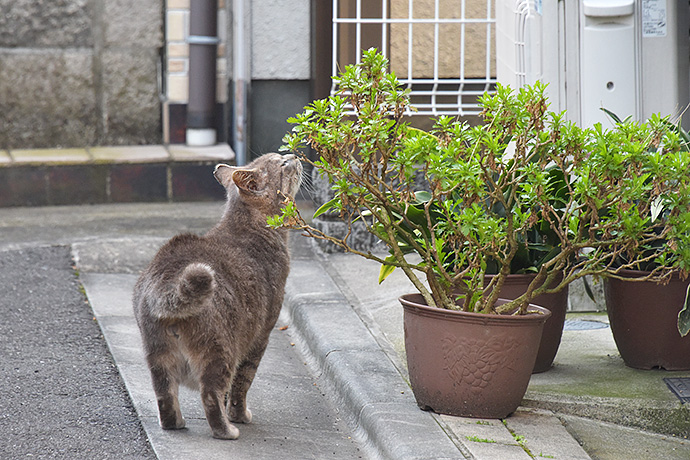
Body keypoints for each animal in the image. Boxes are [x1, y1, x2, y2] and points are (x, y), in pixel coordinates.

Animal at [133, 152, 300, 438]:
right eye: (282, 163)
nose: (295, 155)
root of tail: (166, 283)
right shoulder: (260, 336)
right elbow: (241, 384)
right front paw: (239, 416)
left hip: (157, 356)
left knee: (165, 396)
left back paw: (176, 423)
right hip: (221, 350)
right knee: (210, 394)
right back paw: (227, 430)